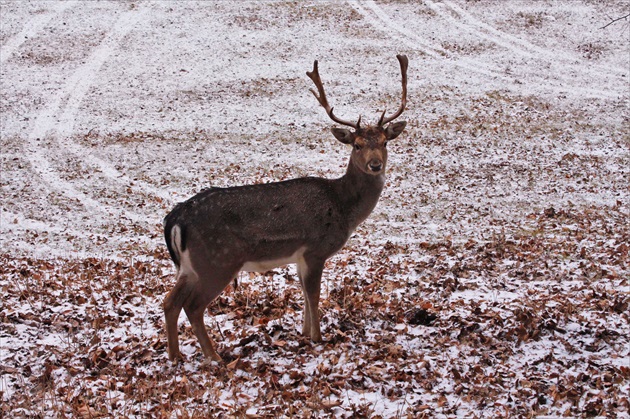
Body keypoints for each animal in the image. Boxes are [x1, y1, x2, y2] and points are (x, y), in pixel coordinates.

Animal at [163, 54, 410, 362]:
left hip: (190, 266)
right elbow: (313, 295)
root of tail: (176, 219)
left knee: (169, 302)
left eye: (385, 142)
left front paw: (304, 333)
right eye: (357, 144)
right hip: (217, 260)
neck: (342, 206)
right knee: (193, 306)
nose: (375, 165)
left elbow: (303, 293)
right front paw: (317, 338)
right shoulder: (316, 248)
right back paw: (215, 358)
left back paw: (175, 356)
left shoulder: (299, 257)